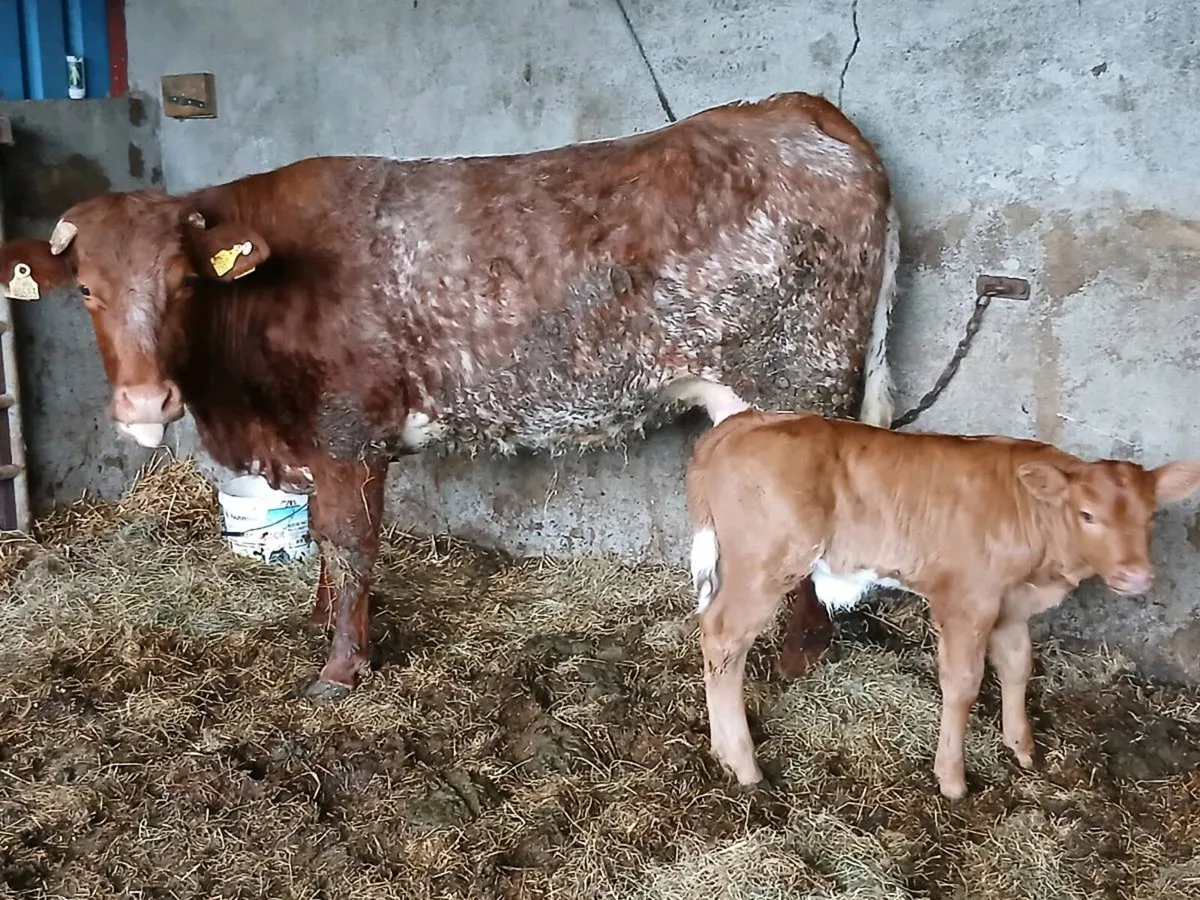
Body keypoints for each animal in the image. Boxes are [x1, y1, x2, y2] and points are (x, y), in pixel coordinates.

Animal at [1, 91, 900, 701]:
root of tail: (793, 108)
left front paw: (340, 667)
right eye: (86, 290)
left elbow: (348, 544)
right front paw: (319, 621)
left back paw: (801, 655)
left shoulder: (346, 434)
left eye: (184, 282)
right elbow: (328, 545)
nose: (146, 405)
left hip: (795, 378)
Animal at [685, 409, 1200, 799]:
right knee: (724, 639)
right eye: (1087, 514)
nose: (1136, 575)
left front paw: (1022, 747)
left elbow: (1018, 666)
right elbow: (963, 684)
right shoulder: (967, 600)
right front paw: (952, 778)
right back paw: (744, 765)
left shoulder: (1009, 604)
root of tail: (746, 421)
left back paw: (721, 753)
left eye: (1150, 516)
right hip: (765, 566)